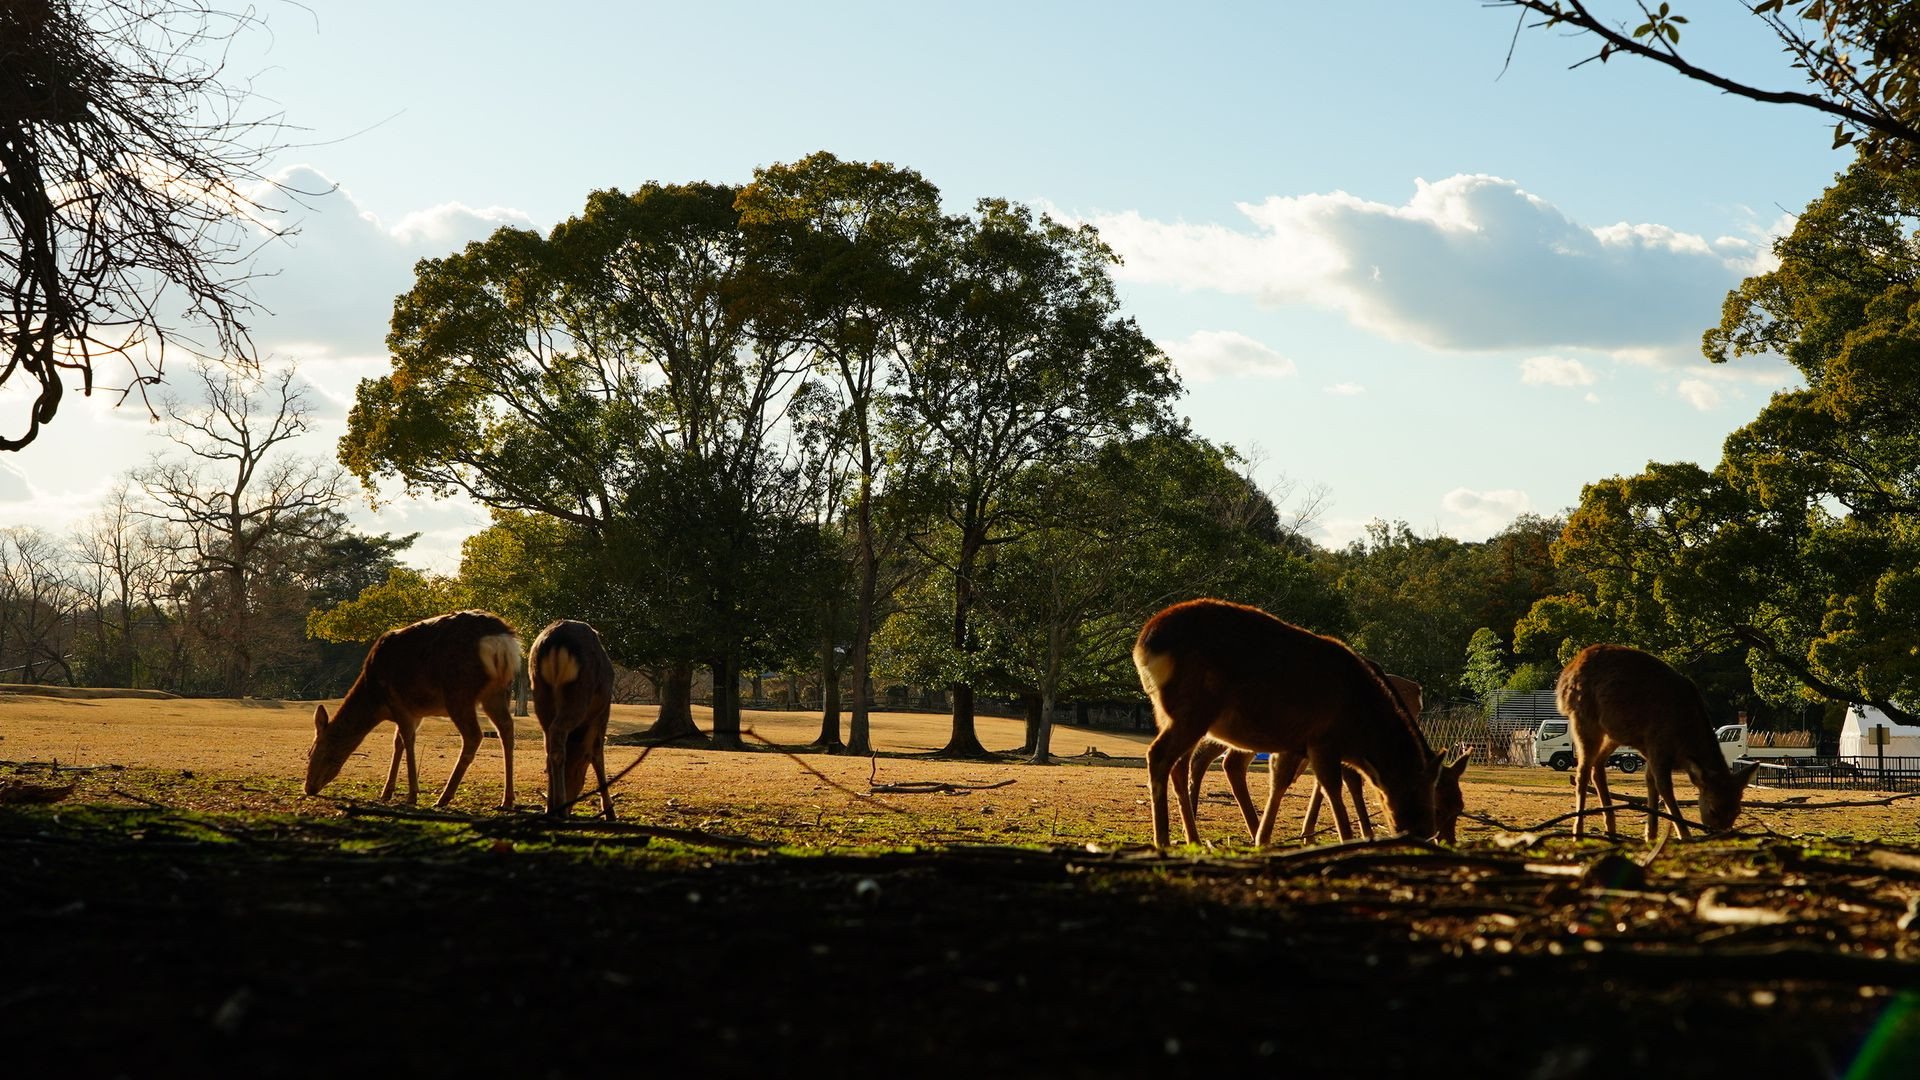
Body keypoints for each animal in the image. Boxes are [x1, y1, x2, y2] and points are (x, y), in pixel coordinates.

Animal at [305, 609, 523, 810]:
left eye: (313, 752)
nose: (308, 788)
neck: (375, 700)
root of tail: (501, 640)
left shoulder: (398, 703)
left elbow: (408, 741)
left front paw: (411, 795)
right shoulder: (415, 712)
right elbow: (398, 743)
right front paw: (386, 792)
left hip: (458, 691)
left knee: (474, 735)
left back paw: (443, 798)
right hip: (497, 692)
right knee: (506, 728)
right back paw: (507, 800)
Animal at [530, 619, 616, 820]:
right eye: (581, 768)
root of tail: (555, 642)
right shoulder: (602, 713)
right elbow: (598, 754)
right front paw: (610, 812)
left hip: (540, 692)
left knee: (549, 744)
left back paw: (552, 809)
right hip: (579, 692)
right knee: (558, 732)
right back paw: (560, 809)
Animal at [1134, 597, 1446, 849]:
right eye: (1421, 794)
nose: (1426, 835)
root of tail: (1144, 643)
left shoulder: (1297, 743)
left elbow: (1284, 779)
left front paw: (1265, 837)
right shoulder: (1322, 739)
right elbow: (1332, 786)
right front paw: (1347, 837)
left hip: (1172, 715)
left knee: (1181, 764)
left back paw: (1194, 838)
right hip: (1193, 710)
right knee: (1159, 755)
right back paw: (1162, 839)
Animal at [1556, 643, 1759, 843]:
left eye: (1737, 811)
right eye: (1713, 810)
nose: (1723, 835)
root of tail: (1564, 678)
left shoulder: (1650, 749)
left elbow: (1650, 781)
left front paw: (1650, 835)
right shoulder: (1657, 744)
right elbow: (1664, 787)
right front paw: (1684, 834)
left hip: (1614, 733)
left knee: (1597, 766)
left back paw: (1611, 829)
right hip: (1583, 718)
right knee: (1582, 771)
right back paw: (1578, 832)